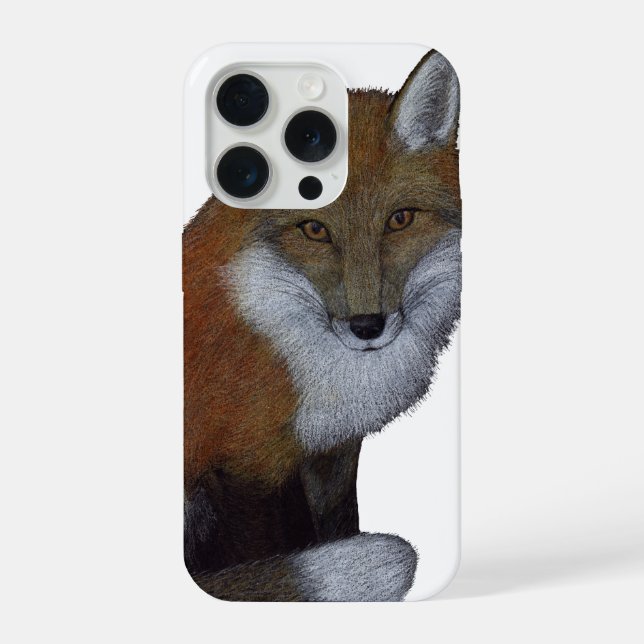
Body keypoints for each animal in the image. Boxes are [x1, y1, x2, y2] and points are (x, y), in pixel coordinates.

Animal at [183, 50, 461, 601]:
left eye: (400, 220)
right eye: (314, 229)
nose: (367, 326)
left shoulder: (330, 448)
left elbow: (337, 522)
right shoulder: (242, 464)